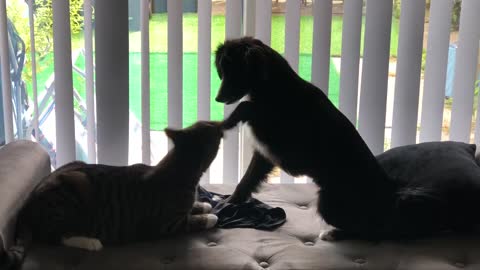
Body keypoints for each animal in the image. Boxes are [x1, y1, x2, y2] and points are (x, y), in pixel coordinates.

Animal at [214, 36, 398, 240]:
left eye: (235, 70)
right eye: (222, 69)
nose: (217, 98)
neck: (274, 88)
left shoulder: (279, 139)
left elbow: (247, 106)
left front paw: (228, 120)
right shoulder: (264, 154)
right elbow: (246, 180)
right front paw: (230, 202)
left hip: (328, 201)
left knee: (372, 231)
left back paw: (333, 233)